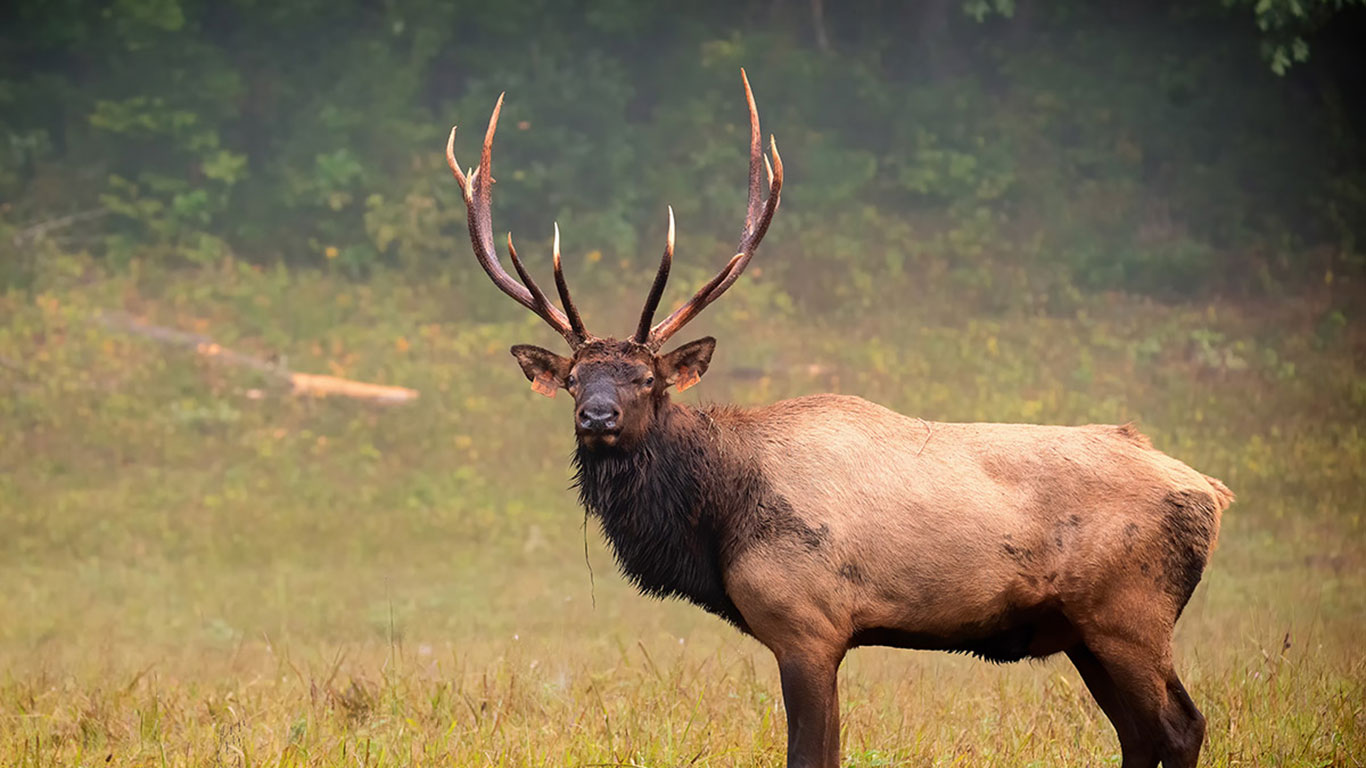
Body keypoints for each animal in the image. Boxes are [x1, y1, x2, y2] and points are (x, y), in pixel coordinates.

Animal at [442, 71, 1234, 765]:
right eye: (576, 379)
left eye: (646, 379)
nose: (597, 417)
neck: (716, 519)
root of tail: (1212, 492)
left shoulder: (807, 625)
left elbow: (810, 755)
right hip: (1083, 631)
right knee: (1139, 736)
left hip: (1130, 613)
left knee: (1181, 726)